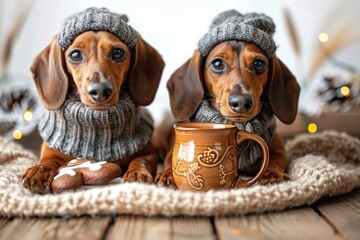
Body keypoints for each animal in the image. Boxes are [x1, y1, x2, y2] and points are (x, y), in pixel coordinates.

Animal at [21, 8, 165, 194]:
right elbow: (48, 161)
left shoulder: (148, 152)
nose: (100, 90)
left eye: (118, 52)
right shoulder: (50, 151)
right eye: (75, 54)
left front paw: (138, 173)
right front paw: (39, 171)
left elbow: (141, 160)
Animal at [156, 10, 300, 188]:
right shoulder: (172, 151)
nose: (241, 102)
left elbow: (275, 159)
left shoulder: (278, 149)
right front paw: (168, 174)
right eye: (218, 63)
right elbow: (172, 159)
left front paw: (271, 173)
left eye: (259, 64)